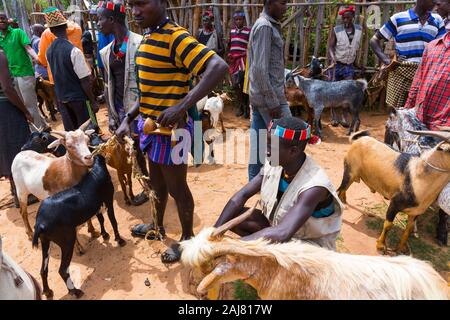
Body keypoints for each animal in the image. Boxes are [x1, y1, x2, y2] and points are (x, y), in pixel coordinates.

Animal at [32, 155, 125, 298]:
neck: (97, 171)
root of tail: (40, 223)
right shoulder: (108, 199)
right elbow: (112, 220)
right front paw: (119, 240)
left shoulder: (96, 206)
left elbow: (101, 219)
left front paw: (104, 235)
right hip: (67, 241)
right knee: (63, 270)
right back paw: (75, 291)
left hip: (45, 242)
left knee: (43, 270)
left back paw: (48, 291)